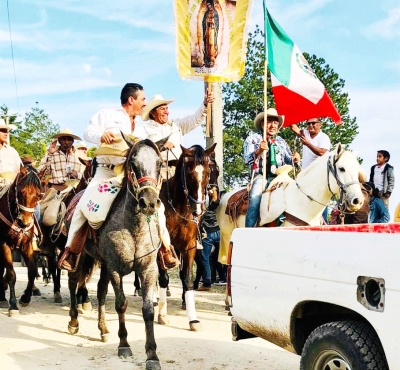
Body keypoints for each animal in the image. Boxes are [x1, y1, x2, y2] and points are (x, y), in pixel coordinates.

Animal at [0, 168, 41, 316]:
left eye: (38, 195)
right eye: (21, 192)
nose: (24, 222)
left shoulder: (26, 245)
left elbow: (32, 271)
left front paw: (25, 298)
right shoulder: (4, 245)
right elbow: (11, 274)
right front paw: (13, 305)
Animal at [67, 137, 166, 370]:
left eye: (159, 164)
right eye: (133, 164)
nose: (149, 202)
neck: (133, 227)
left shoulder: (148, 269)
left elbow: (148, 310)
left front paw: (152, 355)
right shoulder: (115, 268)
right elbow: (121, 304)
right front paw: (124, 344)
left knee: (101, 290)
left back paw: (103, 329)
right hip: (80, 257)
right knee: (73, 281)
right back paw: (74, 321)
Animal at [159, 143, 216, 330]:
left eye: (207, 171)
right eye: (189, 172)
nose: (198, 210)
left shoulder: (189, 246)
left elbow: (188, 278)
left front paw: (193, 319)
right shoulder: (162, 248)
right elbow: (163, 278)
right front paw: (162, 314)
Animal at [217, 143, 364, 264]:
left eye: (357, 170)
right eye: (341, 168)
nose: (357, 200)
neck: (302, 203)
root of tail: (224, 199)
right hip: (227, 235)